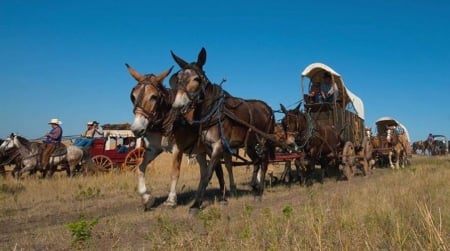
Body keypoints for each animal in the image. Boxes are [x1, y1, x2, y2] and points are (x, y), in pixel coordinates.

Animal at [125, 62, 234, 210]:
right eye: (133, 96)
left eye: (154, 96)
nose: (137, 129)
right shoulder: (154, 148)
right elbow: (140, 167)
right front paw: (147, 197)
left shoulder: (178, 148)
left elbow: (174, 172)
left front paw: (171, 200)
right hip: (200, 151)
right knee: (206, 170)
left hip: (218, 147)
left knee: (225, 167)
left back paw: (229, 191)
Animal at [169, 47, 274, 214]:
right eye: (177, 78)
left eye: (196, 79)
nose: (178, 106)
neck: (213, 111)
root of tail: (268, 108)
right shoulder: (208, 148)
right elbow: (217, 172)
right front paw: (223, 198)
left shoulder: (218, 145)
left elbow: (207, 174)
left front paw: (196, 204)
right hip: (250, 144)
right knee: (256, 161)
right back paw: (254, 186)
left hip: (262, 141)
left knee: (263, 161)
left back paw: (260, 192)